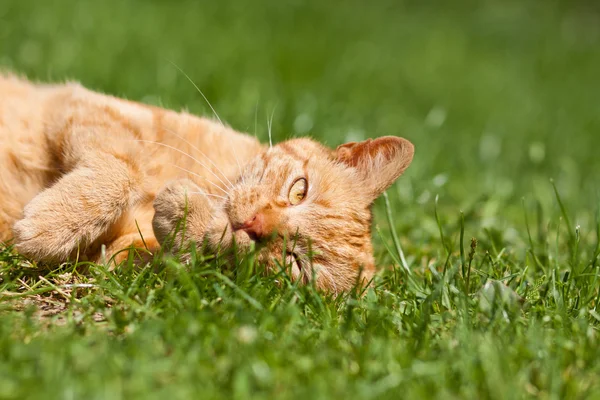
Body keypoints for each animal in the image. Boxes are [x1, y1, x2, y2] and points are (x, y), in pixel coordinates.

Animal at [0, 73, 412, 292]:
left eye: (295, 264)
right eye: (300, 190)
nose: (254, 225)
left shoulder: (115, 263)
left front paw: (189, 218)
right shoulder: (87, 108)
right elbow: (122, 171)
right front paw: (51, 225)